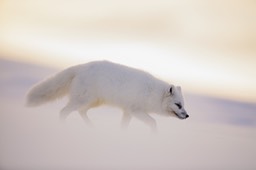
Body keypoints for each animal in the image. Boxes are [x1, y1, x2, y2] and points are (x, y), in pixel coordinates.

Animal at [26, 60, 188, 130]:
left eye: (183, 105)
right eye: (178, 105)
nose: (187, 116)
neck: (152, 93)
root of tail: (82, 66)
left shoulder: (127, 111)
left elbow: (123, 126)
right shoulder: (135, 110)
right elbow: (153, 122)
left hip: (94, 102)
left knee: (81, 111)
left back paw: (92, 127)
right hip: (82, 100)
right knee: (64, 111)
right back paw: (63, 127)